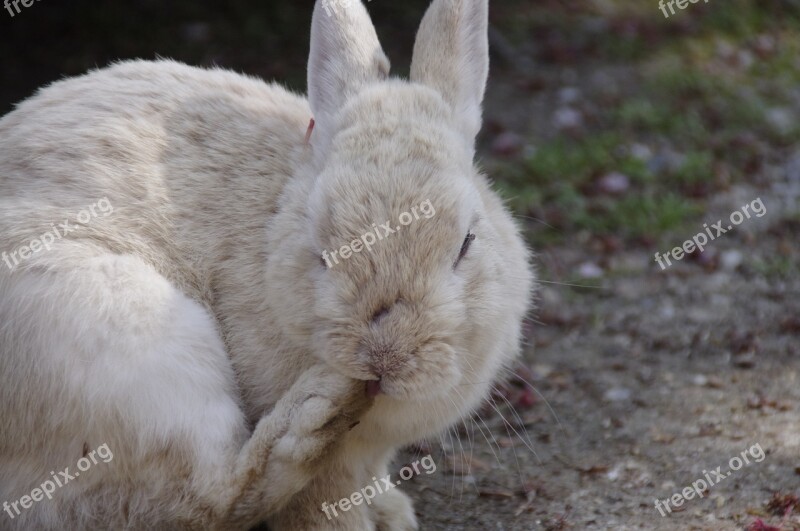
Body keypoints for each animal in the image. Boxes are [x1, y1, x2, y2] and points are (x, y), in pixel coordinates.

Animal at [1, 0, 536, 528]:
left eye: (466, 243)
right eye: (322, 248)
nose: (384, 358)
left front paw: (391, 512)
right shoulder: (327, 473)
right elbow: (320, 506)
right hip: (120, 336)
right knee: (206, 501)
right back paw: (318, 409)